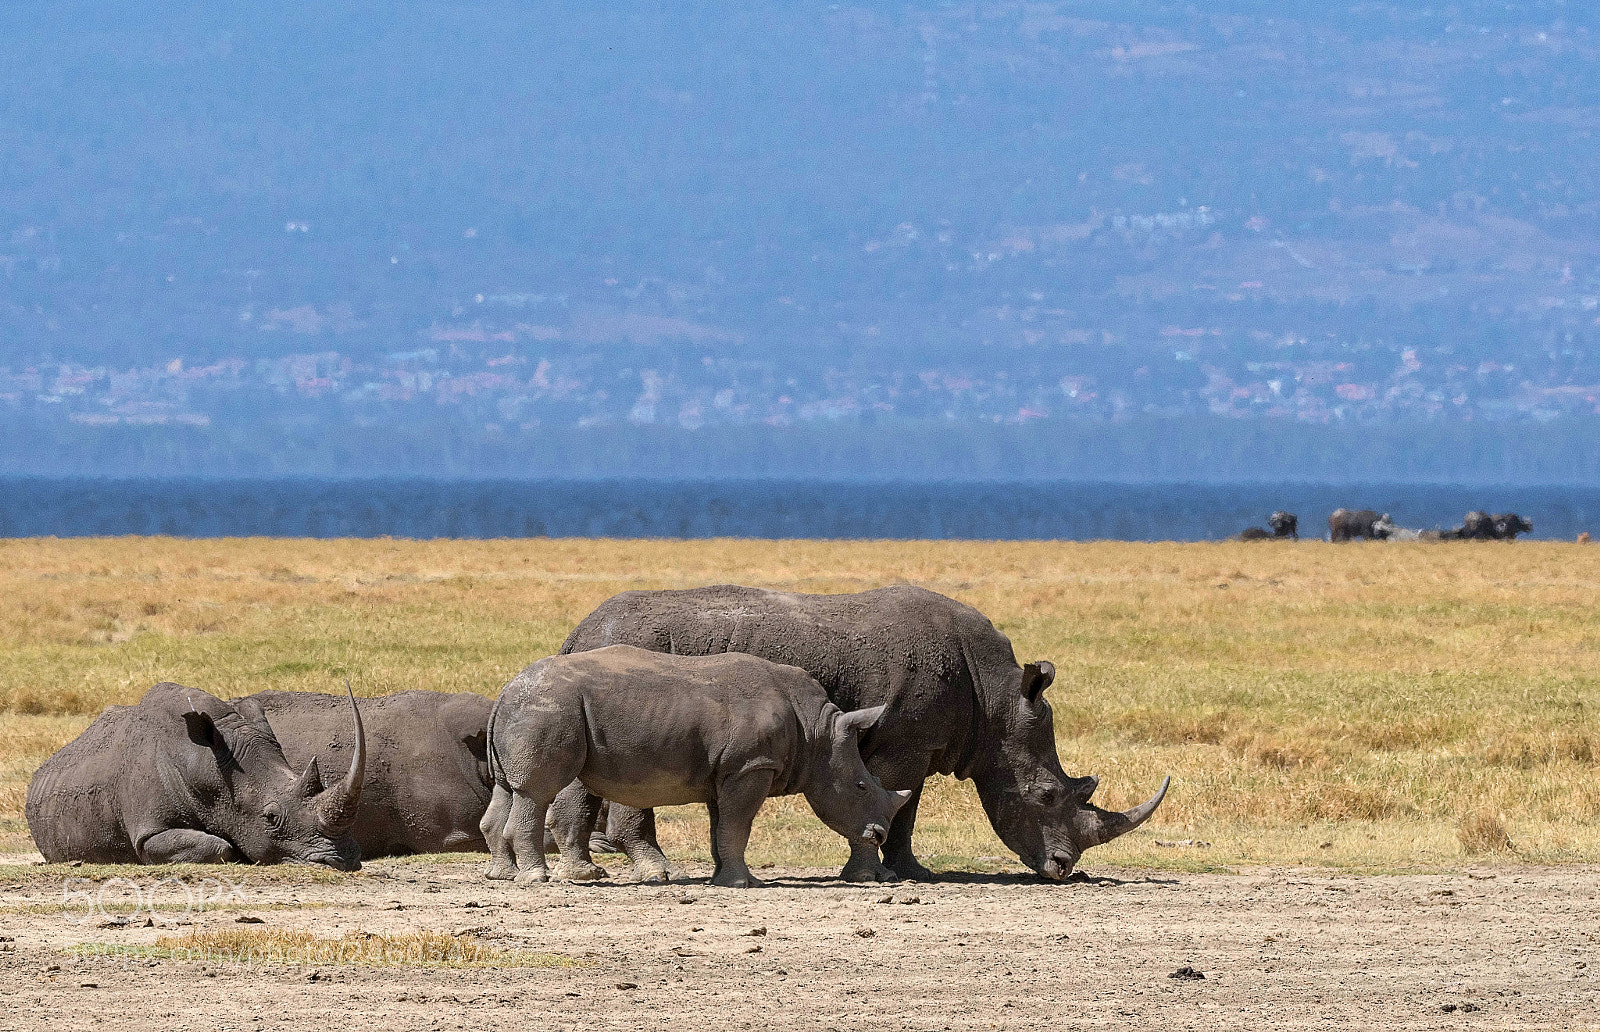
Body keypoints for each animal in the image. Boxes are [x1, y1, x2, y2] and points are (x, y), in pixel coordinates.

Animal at [481, 645, 912, 887]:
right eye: (860, 786)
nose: (878, 835)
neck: (817, 734)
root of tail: (505, 689)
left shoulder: (731, 769)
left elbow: (722, 827)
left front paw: (726, 879)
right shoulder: (752, 766)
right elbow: (738, 825)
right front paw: (744, 884)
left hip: (535, 709)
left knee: (507, 790)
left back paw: (504, 877)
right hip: (550, 709)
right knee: (535, 793)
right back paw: (537, 880)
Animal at [554, 584, 1169, 883]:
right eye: (1045, 796)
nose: (1065, 869)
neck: (996, 701)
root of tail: (580, 628)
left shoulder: (915, 742)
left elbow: (906, 805)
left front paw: (913, 872)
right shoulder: (902, 741)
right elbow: (894, 802)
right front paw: (876, 873)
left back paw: (587, 870)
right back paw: (649, 872)